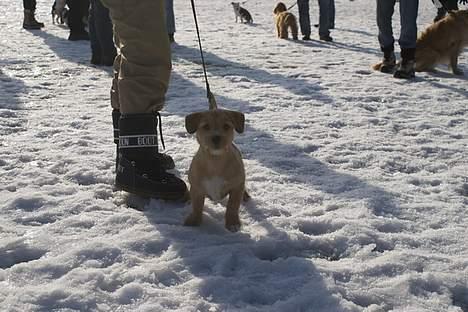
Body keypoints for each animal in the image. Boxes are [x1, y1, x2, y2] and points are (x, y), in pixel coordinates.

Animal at [184, 101, 250, 233]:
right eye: (205, 126)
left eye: (226, 126)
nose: (216, 137)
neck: (215, 161)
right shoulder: (197, 188)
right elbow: (197, 206)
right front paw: (194, 220)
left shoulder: (236, 187)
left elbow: (232, 206)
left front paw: (232, 223)